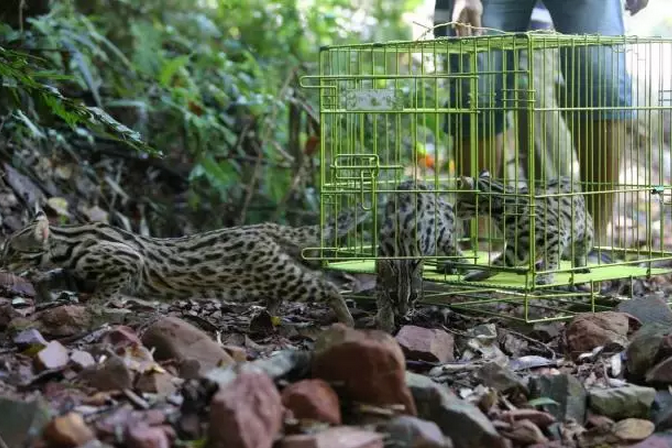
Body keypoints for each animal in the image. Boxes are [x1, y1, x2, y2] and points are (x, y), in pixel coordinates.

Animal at [0, 206, 370, 326]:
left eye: (11, 250)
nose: (0, 263)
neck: (69, 241)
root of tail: (262, 227)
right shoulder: (79, 273)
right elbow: (55, 279)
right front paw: (42, 292)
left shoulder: (125, 261)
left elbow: (102, 295)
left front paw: (96, 310)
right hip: (268, 277)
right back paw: (270, 313)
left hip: (279, 275)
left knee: (327, 284)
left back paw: (348, 320)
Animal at [456, 170, 592, 286]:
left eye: (459, 201)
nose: (454, 209)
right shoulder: (519, 246)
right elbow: (498, 263)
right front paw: (478, 274)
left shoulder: (554, 235)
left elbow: (551, 260)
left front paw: (545, 277)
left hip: (585, 234)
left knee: (579, 252)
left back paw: (580, 266)